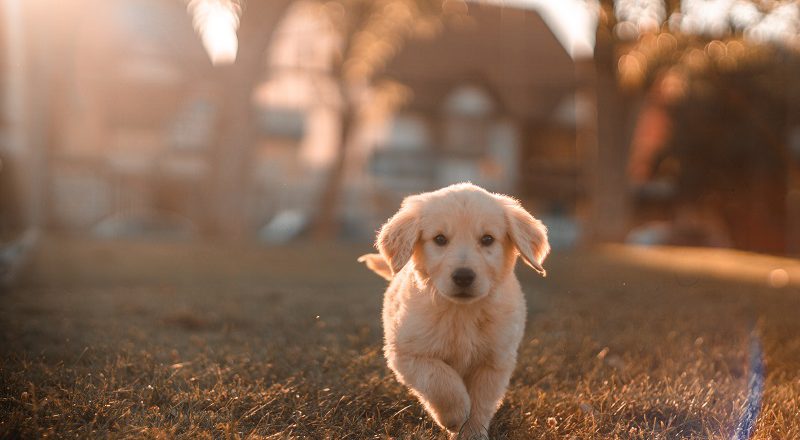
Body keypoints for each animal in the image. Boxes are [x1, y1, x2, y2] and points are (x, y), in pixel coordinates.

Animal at [374, 183, 552, 440]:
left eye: (487, 239)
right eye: (440, 239)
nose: (463, 276)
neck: (462, 312)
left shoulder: (495, 361)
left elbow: (481, 403)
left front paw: (472, 432)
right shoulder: (408, 353)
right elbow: (440, 380)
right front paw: (455, 416)